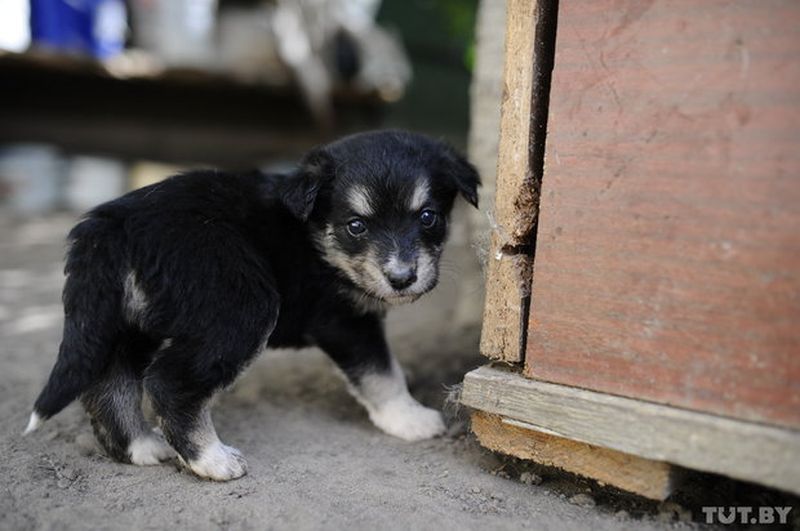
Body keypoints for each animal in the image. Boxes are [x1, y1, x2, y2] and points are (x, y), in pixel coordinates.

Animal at [23, 130, 476, 482]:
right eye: (356, 226)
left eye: (428, 217)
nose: (402, 278)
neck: (315, 239)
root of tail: (109, 225)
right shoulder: (343, 320)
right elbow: (381, 372)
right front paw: (409, 418)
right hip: (241, 307)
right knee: (167, 382)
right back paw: (212, 460)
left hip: (130, 319)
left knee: (110, 381)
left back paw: (141, 447)